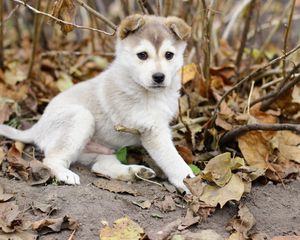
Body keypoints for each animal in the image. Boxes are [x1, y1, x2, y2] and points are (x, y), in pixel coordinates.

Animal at [0, 14, 195, 191]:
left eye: (169, 55)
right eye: (142, 55)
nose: (159, 77)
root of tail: (37, 127)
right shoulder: (153, 131)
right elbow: (173, 159)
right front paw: (188, 181)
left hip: (101, 151)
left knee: (100, 166)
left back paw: (136, 172)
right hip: (81, 118)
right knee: (51, 159)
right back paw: (65, 175)